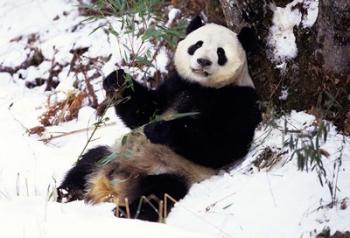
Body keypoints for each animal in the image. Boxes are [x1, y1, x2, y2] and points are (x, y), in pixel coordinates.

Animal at [57, 16, 262, 221]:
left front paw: (159, 129)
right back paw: (67, 193)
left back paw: (124, 211)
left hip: (173, 171)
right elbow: (144, 112)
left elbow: (222, 145)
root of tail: (115, 184)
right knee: (87, 163)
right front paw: (118, 80)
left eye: (220, 52)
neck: (203, 87)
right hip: (113, 154)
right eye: (197, 45)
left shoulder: (239, 99)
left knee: (156, 194)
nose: (203, 61)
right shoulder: (175, 85)